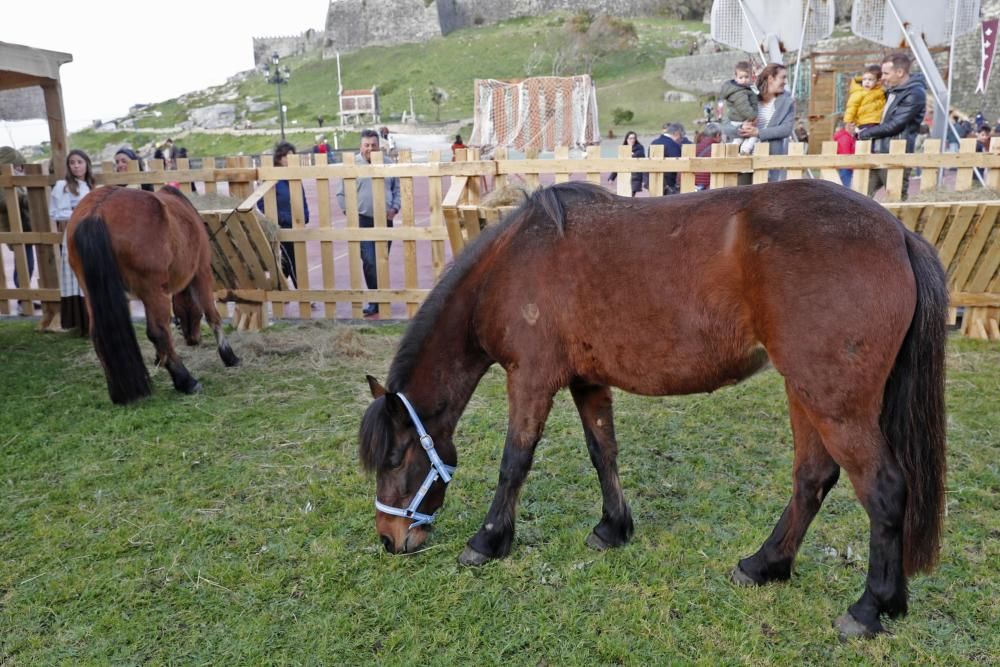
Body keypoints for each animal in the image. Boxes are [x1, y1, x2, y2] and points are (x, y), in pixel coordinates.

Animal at [67, 188, 239, 408]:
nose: (192, 339)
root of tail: (97, 211)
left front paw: (160, 358)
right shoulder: (201, 273)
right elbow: (212, 316)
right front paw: (229, 356)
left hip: (94, 293)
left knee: (99, 336)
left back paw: (118, 392)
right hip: (155, 291)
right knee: (158, 332)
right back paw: (186, 381)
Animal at [358, 179, 944, 640]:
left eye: (394, 460)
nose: (389, 539)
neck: (511, 263)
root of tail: (899, 234)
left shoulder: (530, 380)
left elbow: (515, 462)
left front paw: (488, 541)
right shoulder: (587, 381)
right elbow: (603, 453)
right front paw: (613, 528)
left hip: (834, 403)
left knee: (884, 490)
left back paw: (869, 609)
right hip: (807, 393)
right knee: (812, 478)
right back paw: (766, 566)